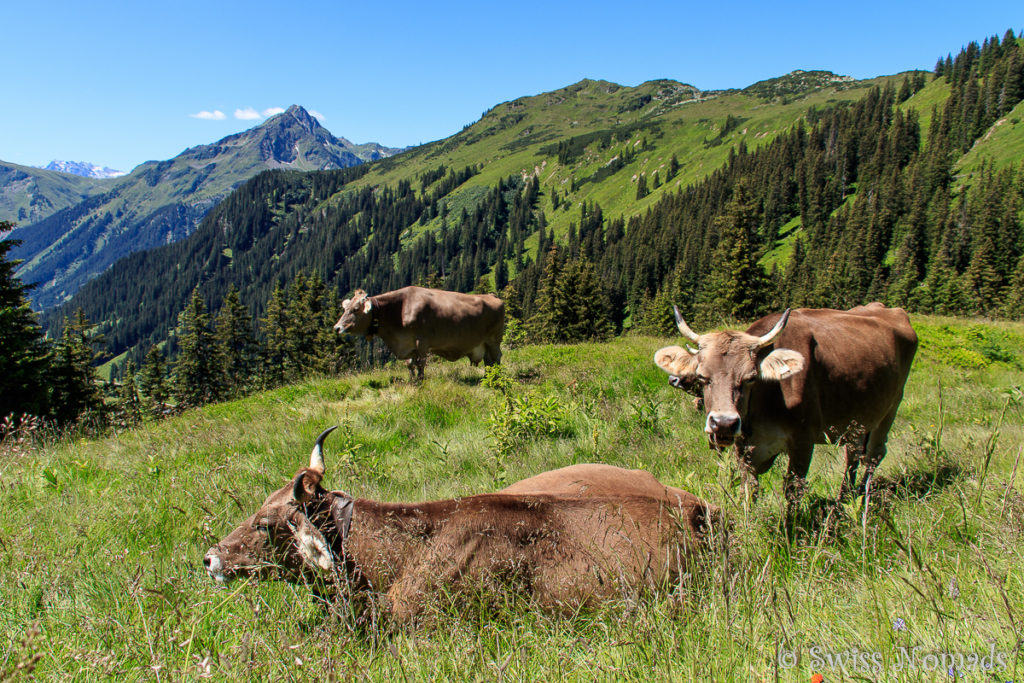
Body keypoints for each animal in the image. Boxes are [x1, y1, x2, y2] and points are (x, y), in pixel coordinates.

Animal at [333, 282, 505, 378]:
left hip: (494, 340)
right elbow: (410, 365)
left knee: (496, 358)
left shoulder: (422, 342)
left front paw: (421, 382)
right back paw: (489, 379)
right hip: (484, 344)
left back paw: (497, 379)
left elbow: (421, 364)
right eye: (345, 308)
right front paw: (413, 382)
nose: (337, 328)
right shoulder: (408, 344)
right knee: (488, 361)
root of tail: (492, 296)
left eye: (355, 309)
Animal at [651, 305, 925, 501]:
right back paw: (845, 499)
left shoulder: (803, 441)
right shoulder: (744, 448)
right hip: (857, 420)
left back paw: (863, 504)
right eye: (702, 376)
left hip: (890, 408)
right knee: (854, 453)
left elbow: (794, 490)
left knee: (873, 456)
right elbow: (749, 490)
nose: (724, 424)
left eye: (750, 378)